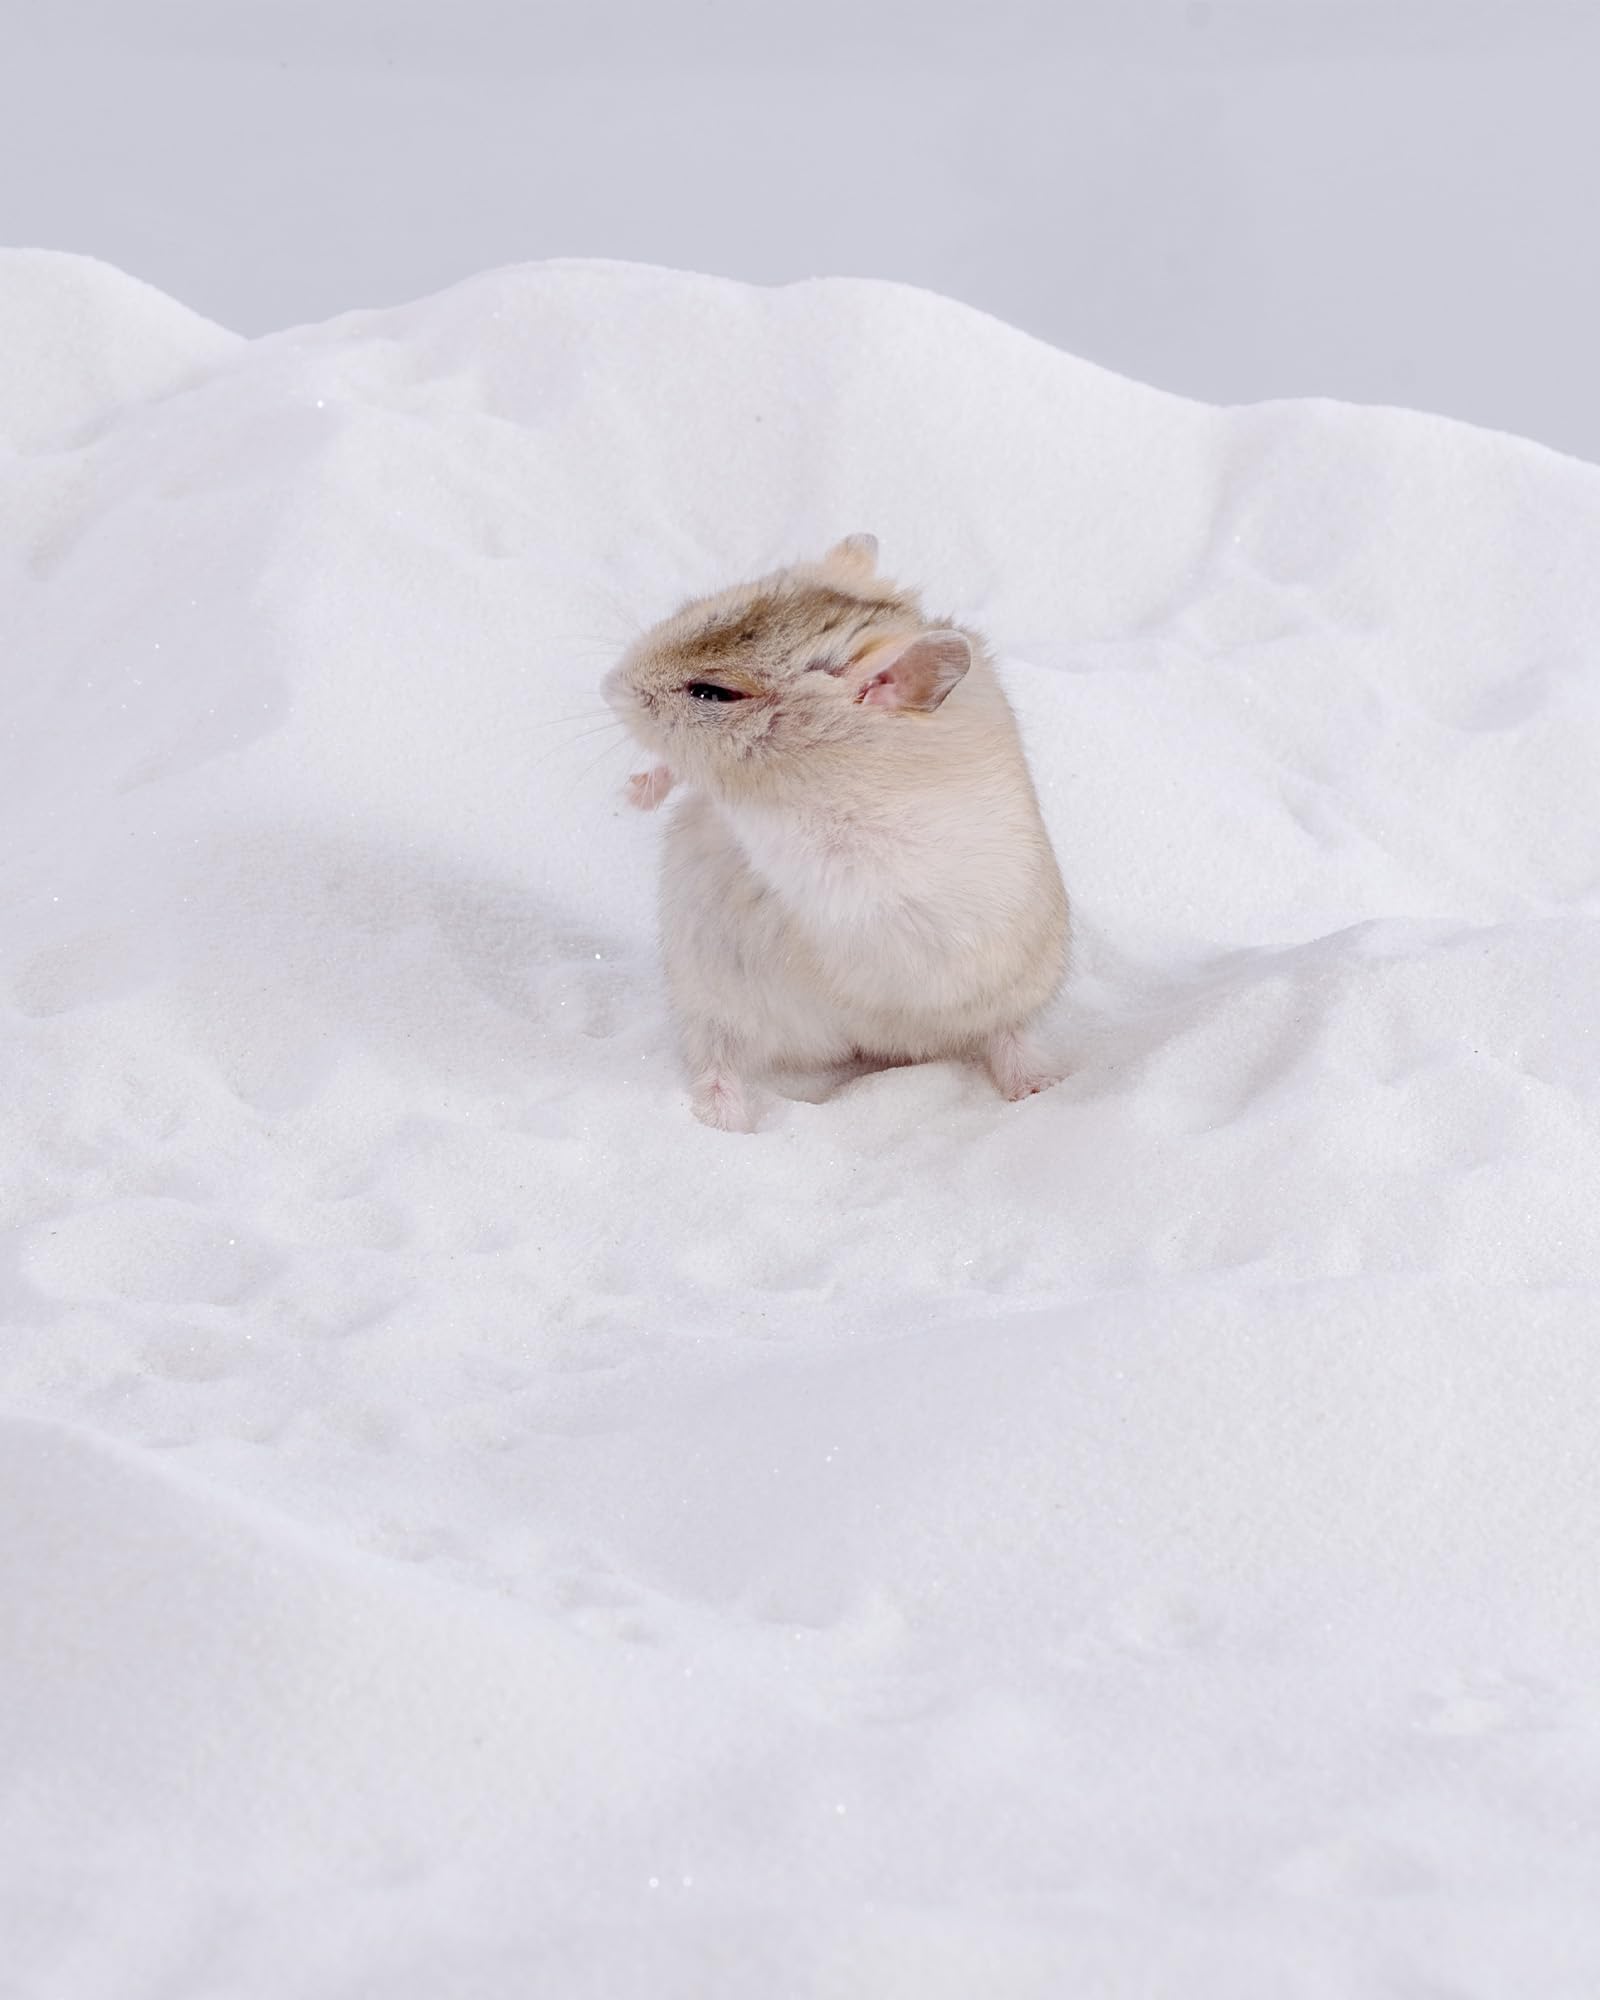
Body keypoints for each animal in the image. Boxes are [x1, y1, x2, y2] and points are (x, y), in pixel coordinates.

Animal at [603, 534, 1069, 1131]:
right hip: (708, 997)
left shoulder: (836, 853)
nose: (608, 686)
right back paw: (725, 1123)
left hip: (1016, 989)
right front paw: (634, 792)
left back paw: (1038, 1089)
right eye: (695, 609)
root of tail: (862, 1045)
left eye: (713, 693)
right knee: (717, 1058)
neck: (825, 764)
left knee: (1007, 1036)